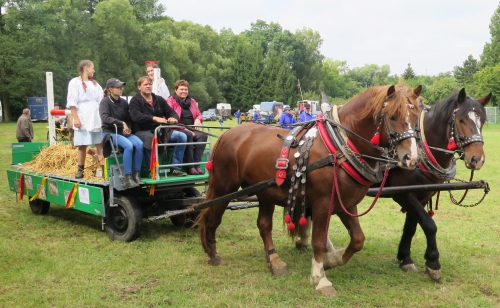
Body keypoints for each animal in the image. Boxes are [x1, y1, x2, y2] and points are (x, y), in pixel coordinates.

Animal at [195, 84, 422, 296]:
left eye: (415, 117)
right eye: (392, 116)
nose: (411, 157)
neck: (339, 147)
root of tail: (227, 134)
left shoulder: (346, 203)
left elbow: (358, 240)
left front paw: (330, 261)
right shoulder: (323, 203)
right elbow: (318, 241)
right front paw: (319, 278)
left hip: (265, 191)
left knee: (264, 225)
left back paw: (274, 260)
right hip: (224, 186)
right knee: (211, 217)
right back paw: (213, 253)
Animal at [296, 87, 492, 282]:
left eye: (482, 121)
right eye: (461, 120)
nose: (478, 159)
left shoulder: (421, 196)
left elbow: (411, 227)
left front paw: (405, 258)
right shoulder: (403, 195)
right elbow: (429, 225)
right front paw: (433, 263)